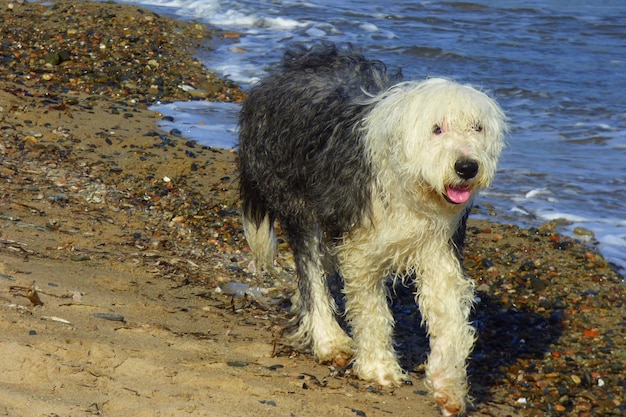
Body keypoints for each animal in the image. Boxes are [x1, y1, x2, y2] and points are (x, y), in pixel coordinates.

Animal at [236, 44, 504, 414]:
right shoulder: (360, 245)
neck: (410, 182)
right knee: (312, 271)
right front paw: (379, 367)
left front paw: (448, 387)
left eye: (477, 128)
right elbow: (371, 309)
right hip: (297, 201)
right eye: (437, 129)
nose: (466, 167)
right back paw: (328, 339)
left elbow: (449, 316)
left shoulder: (438, 248)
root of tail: (280, 73)